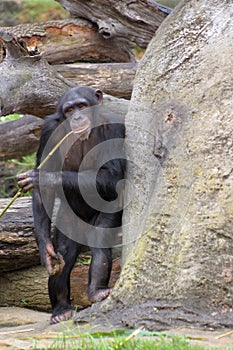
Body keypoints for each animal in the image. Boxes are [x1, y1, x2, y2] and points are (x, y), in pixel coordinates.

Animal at [16, 86, 125, 324]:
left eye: (82, 106)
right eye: (69, 110)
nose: (77, 117)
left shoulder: (115, 126)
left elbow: (112, 175)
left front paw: (45, 178)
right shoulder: (48, 130)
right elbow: (43, 195)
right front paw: (46, 250)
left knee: (99, 237)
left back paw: (96, 291)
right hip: (69, 218)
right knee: (64, 252)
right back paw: (61, 309)